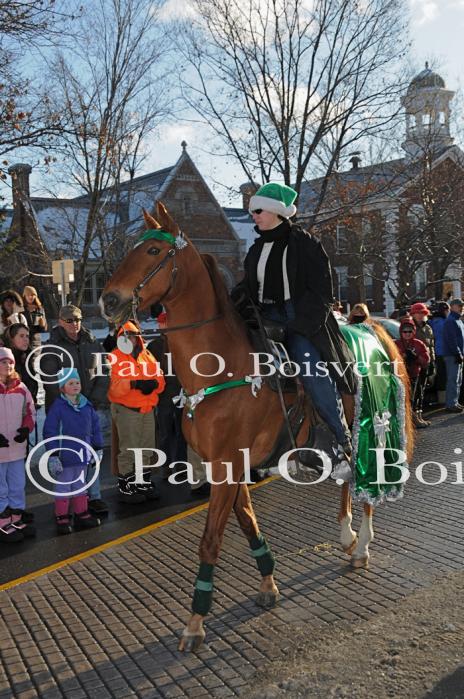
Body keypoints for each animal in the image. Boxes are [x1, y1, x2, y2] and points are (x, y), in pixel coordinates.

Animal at [102, 202, 414, 652]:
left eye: (153, 251)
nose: (109, 299)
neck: (220, 367)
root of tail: (372, 328)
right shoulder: (228, 466)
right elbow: (248, 522)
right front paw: (268, 583)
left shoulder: (228, 466)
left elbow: (210, 541)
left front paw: (195, 622)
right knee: (345, 482)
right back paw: (346, 536)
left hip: (375, 427)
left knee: (366, 484)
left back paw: (363, 544)